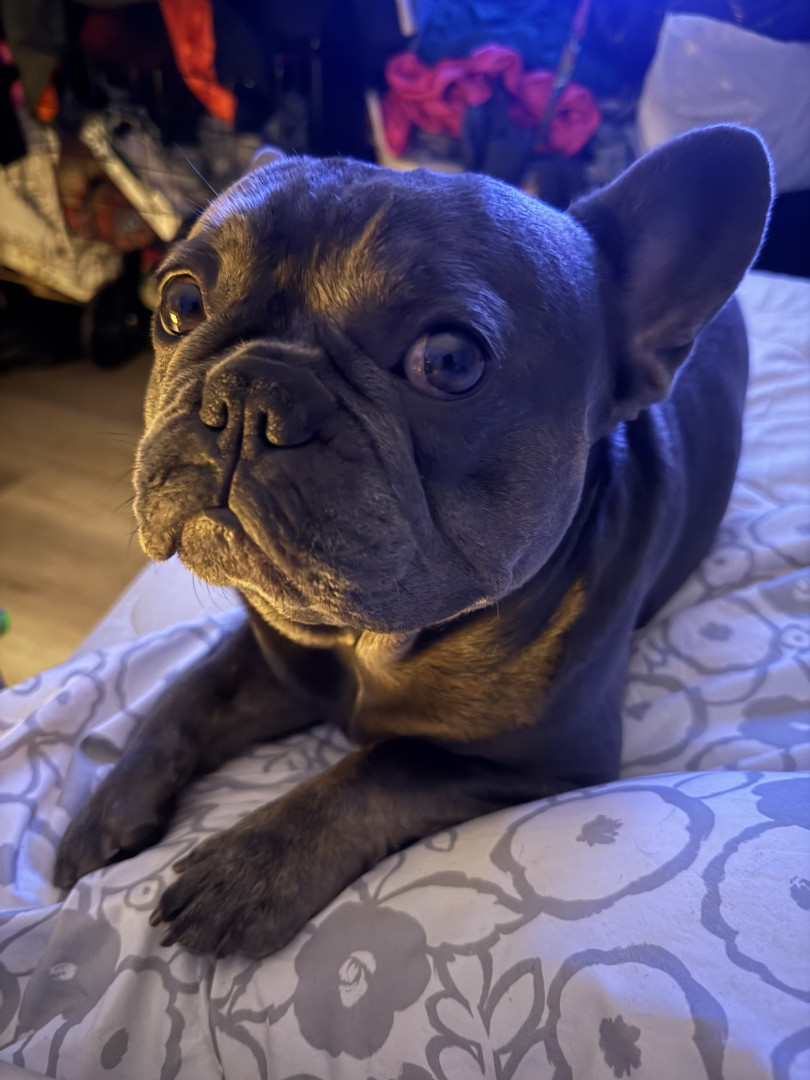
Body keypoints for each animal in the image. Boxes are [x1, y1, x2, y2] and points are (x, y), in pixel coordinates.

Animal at [54, 125, 772, 958]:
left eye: (451, 362)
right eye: (179, 303)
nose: (250, 389)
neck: (365, 643)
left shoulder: (546, 762)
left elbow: (387, 763)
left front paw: (248, 867)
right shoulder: (274, 658)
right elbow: (189, 692)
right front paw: (107, 807)